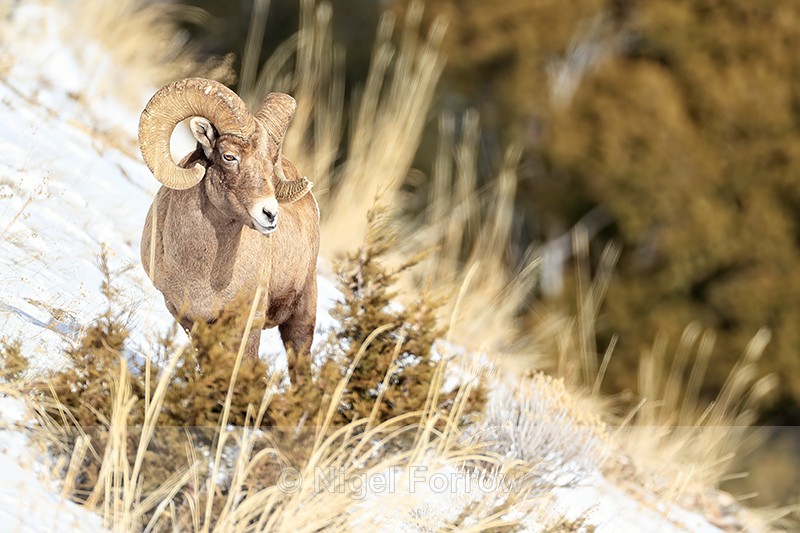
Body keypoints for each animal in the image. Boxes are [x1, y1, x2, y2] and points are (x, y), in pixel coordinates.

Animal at [138, 77, 319, 385]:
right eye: (229, 156)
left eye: (271, 163)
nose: (270, 214)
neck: (201, 272)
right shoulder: (188, 318)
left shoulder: (247, 323)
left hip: (301, 319)